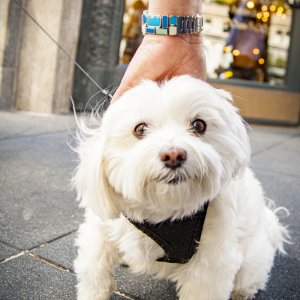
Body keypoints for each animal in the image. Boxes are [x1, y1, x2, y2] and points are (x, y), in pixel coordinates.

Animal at [72, 76, 288, 300]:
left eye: (199, 125)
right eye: (140, 129)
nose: (173, 155)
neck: (164, 212)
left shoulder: (211, 262)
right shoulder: (100, 233)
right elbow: (95, 270)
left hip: (253, 258)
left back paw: (242, 291)